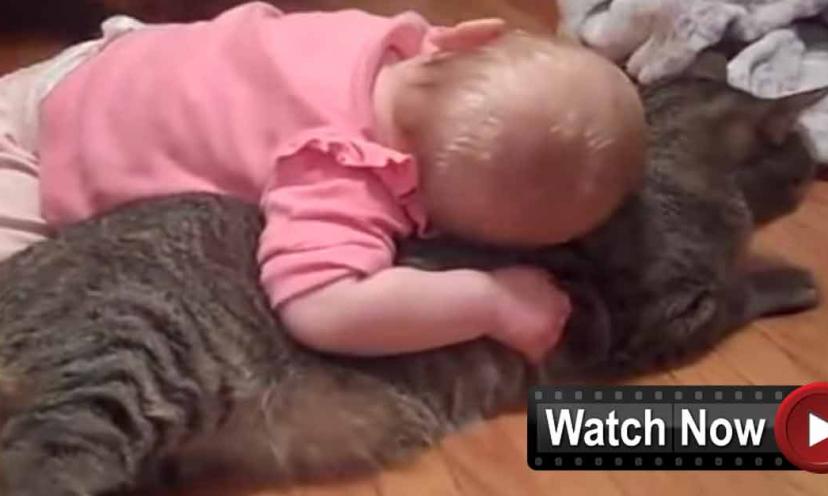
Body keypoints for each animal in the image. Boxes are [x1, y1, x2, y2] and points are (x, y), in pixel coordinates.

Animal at [0, 77, 823, 495]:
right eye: (806, 151)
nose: (819, 166)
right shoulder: (662, 319)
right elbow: (740, 293)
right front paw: (794, 279)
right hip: (131, 359)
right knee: (44, 462)